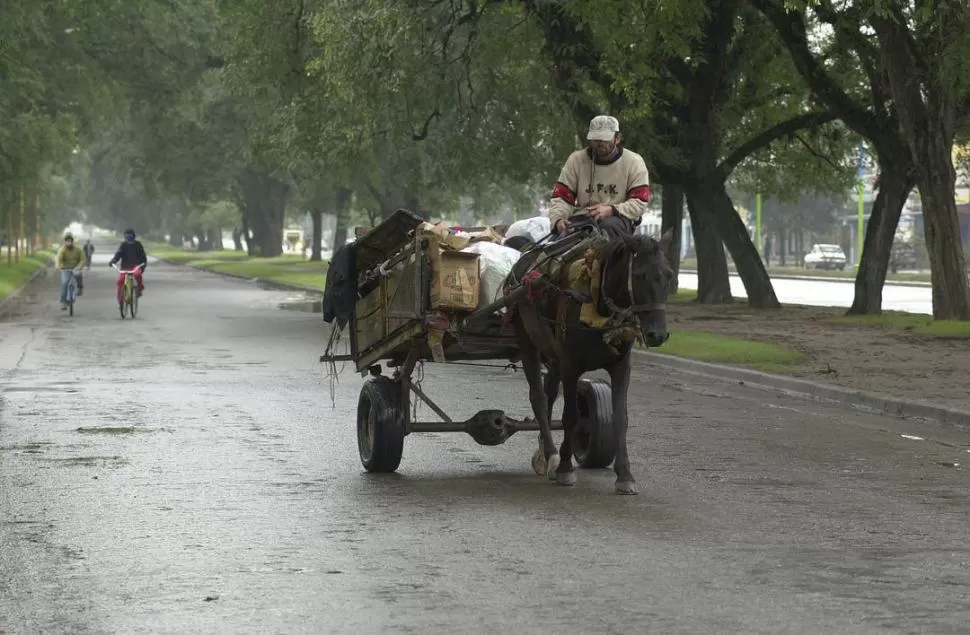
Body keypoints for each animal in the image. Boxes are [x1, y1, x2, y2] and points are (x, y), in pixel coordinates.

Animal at [506, 225, 672, 496]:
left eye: (669, 275)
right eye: (639, 275)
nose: (657, 334)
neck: (597, 302)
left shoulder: (621, 365)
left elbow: (620, 417)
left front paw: (624, 475)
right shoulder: (570, 365)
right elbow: (570, 416)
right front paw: (565, 468)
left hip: (552, 355)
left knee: (549, 395)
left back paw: (544, 452)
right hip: (528, 341)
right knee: (539, 399)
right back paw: (551, 454)